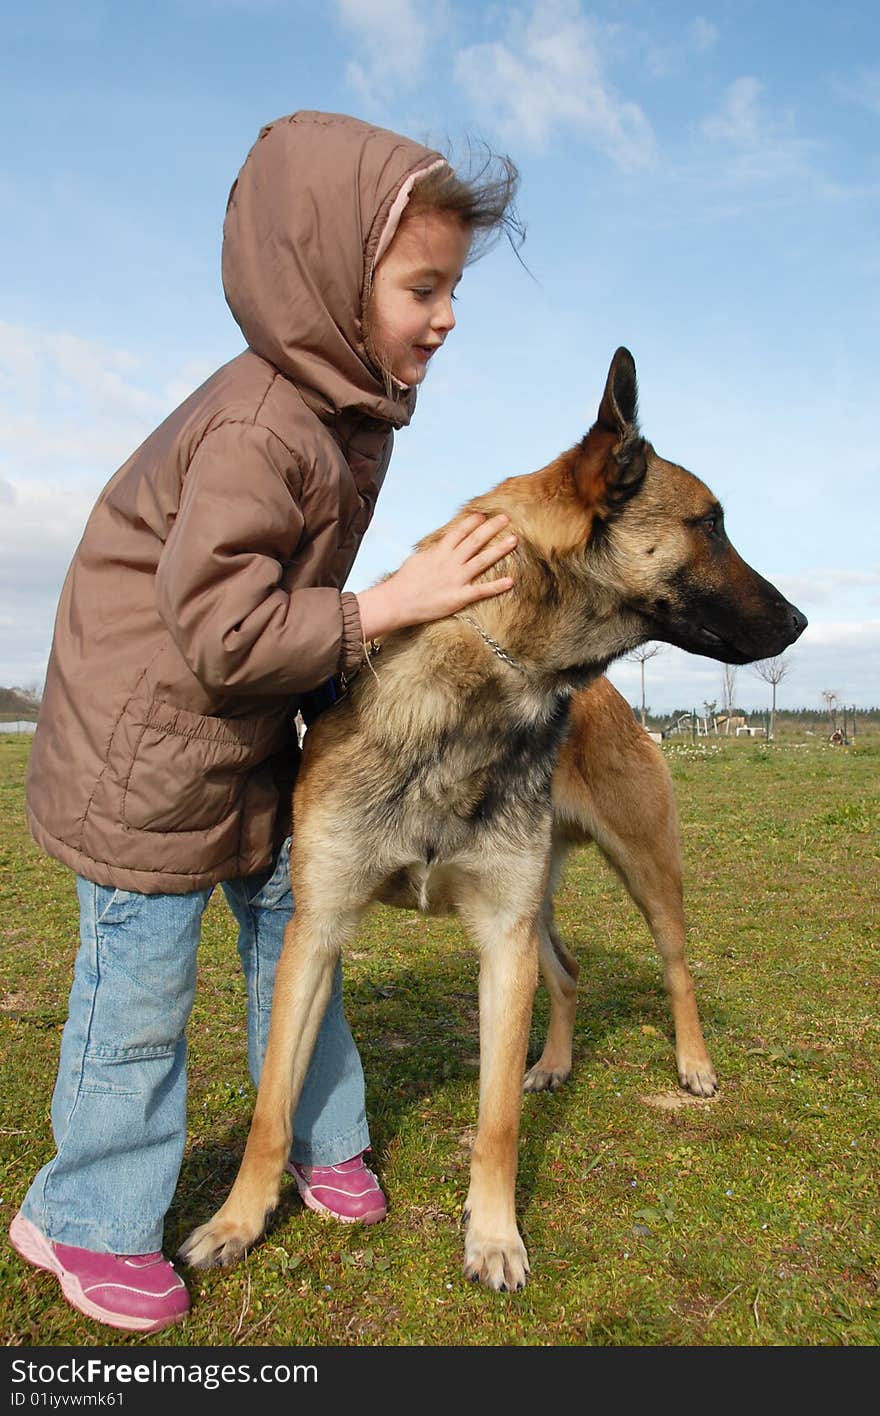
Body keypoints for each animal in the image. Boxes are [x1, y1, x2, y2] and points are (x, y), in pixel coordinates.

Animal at [181, 348, 804, 1291]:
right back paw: (553, 1063)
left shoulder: (499, 946)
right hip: (538, 903)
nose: (802, 621)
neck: (497, 679)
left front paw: (496, 1236)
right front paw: (236, 1223)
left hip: (644, 874)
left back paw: (692, 1064)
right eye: (710, 525)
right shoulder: (317, 934)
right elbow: (272, 1110)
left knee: (677, 968)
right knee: (570, 972)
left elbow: (498, 1121)